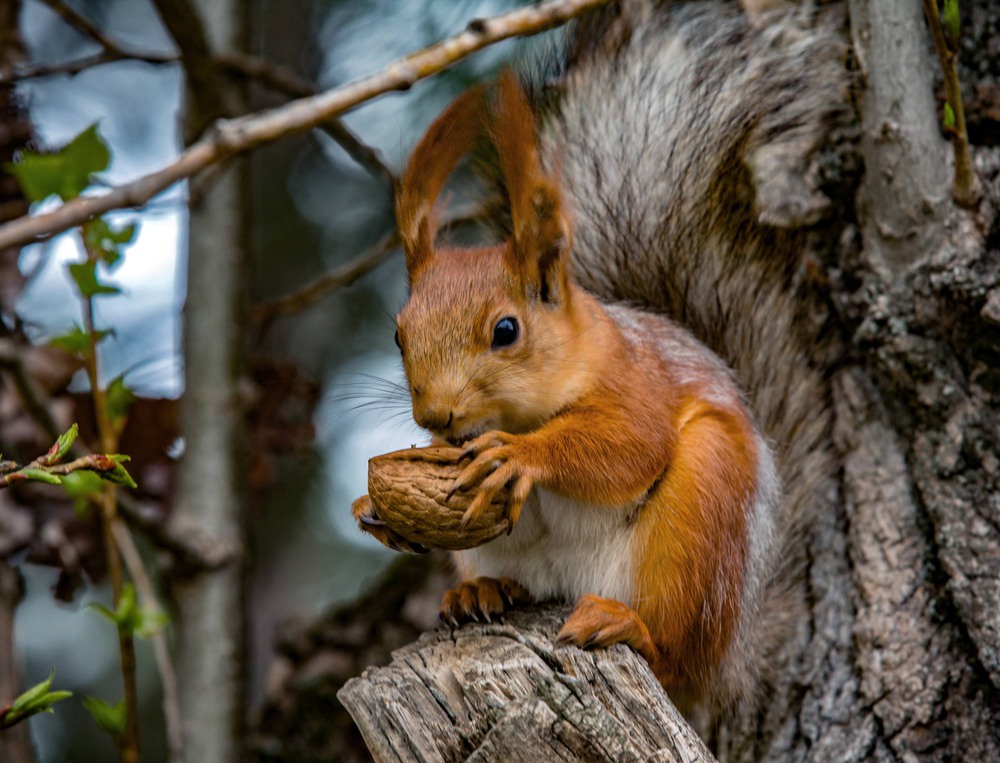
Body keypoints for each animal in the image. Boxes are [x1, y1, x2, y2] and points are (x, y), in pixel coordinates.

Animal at [352, 0, 844, 716]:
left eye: (506, 330)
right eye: (397, 335)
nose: (436, 415)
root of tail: (731, 661)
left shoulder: (639, 379)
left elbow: (630, 444)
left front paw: (519, 456)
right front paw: (371, 509)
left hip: (703, 521)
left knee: (674, 651)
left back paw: (629, 627)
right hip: (494, 556)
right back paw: (478, 592)